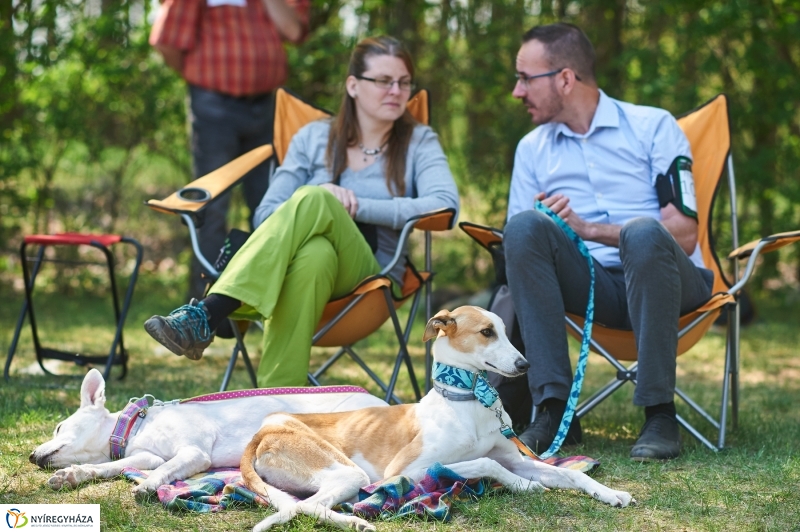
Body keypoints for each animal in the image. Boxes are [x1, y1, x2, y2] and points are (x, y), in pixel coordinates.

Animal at [32, 368, 390, 496]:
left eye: (59, 426)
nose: (32, 455)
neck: (136, 427)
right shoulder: (146, 455)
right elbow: (112, 467)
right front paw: (73, 474)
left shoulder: (194, 452)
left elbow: (164, 469)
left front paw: (150, 485)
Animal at [241, 306, 636, 532]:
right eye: (486, 332)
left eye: (506, 332)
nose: (524, 365)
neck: (469, 402)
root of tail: (263, 432)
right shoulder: (406, 471)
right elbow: (485, 464)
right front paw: (524, 485)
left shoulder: (517, 457)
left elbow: (570, 473)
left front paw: (611, 493)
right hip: (348, 472)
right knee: (308, 506)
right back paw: (355, 520)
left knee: (304, 504)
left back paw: (354, 520)